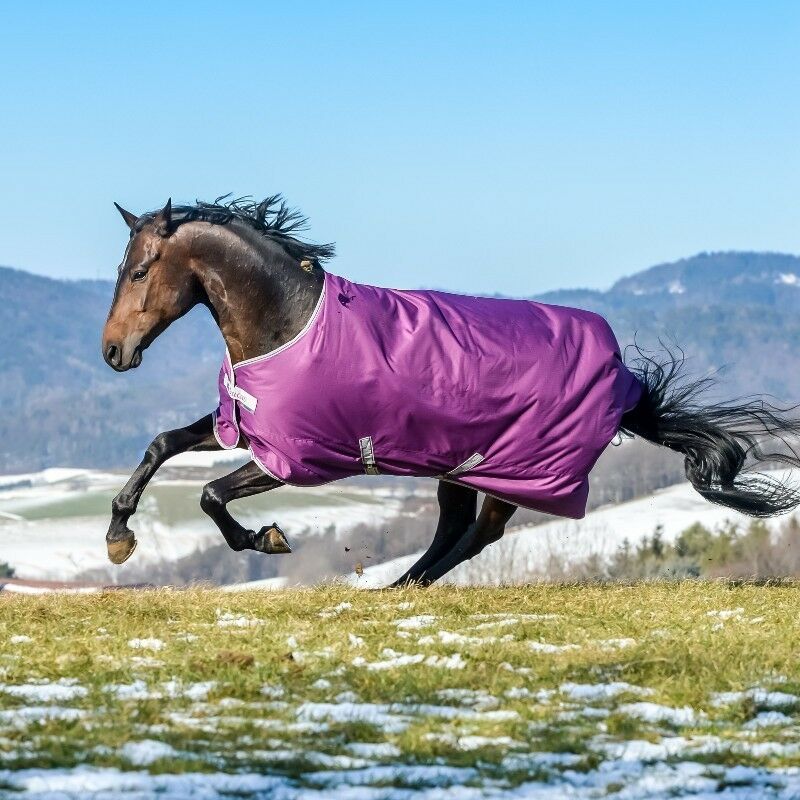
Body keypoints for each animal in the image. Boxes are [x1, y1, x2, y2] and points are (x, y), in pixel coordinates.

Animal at [103, 193, 800, 580]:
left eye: (138, 272)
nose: (113, 351)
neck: (290, 321)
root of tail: (624, 382)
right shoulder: (247, 429)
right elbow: (162, 444)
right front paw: (118, 537)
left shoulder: (298, 457)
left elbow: (210, 496)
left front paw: (265, 539)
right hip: (459, 467)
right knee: (456, 533)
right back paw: (396, 589)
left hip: (507, 472)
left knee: (474, 536)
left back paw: (397, 588)